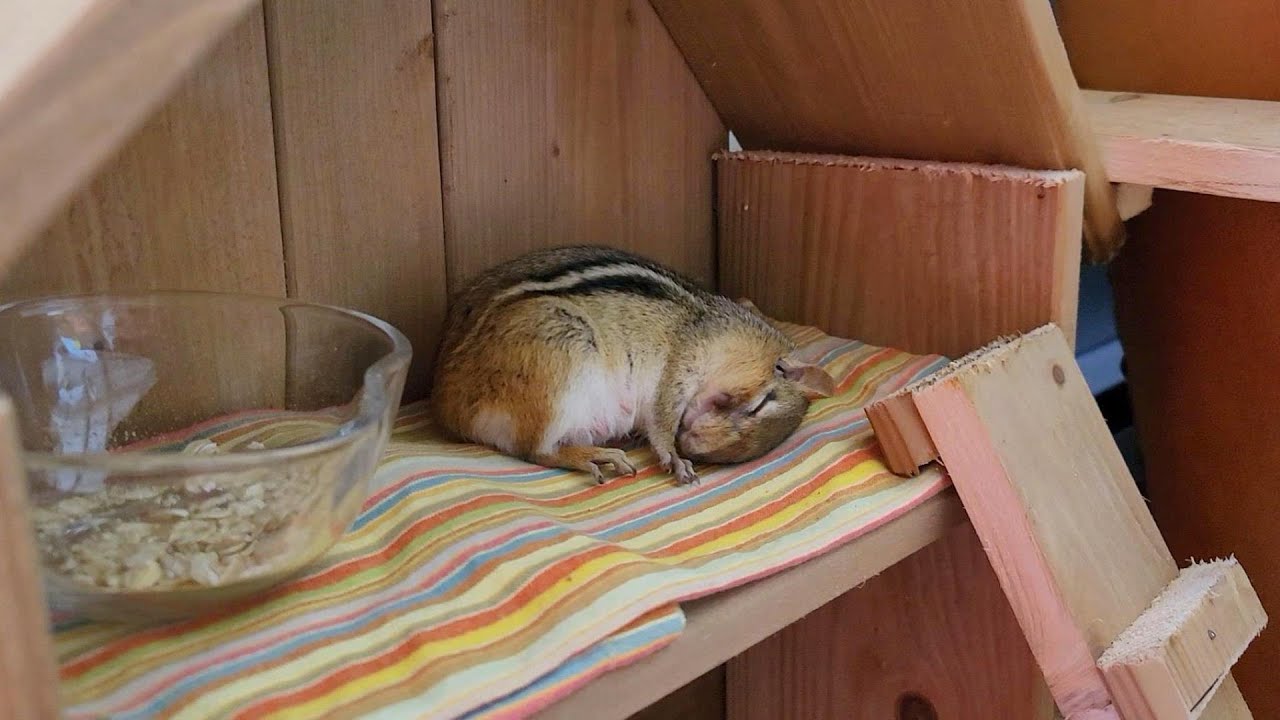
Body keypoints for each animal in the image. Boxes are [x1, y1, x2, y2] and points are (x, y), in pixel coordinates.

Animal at [430, 245, 836, 486]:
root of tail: (447, 405)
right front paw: (673, 456)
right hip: (561, 363)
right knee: (535, 449)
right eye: (760, 405)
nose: (693, 443)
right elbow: (663, 416)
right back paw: (597, 456)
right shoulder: (682, 363)